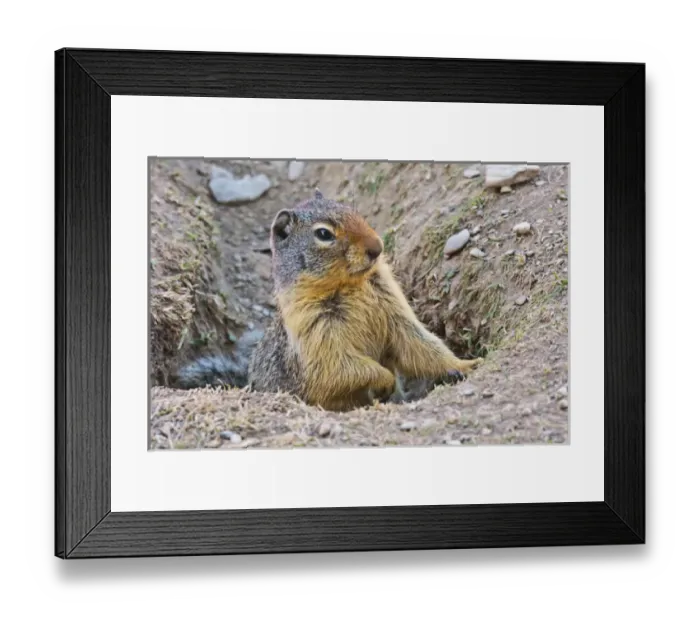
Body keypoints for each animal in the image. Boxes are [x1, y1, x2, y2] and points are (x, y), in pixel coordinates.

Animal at [245, 189, 482, 411]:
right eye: (323, 233)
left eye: (355, 212)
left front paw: (467, 364)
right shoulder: (313, 329)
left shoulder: (395, 308)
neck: (350, 285)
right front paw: (385, 382)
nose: (377, 247)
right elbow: (338, 366)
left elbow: (419, 343)